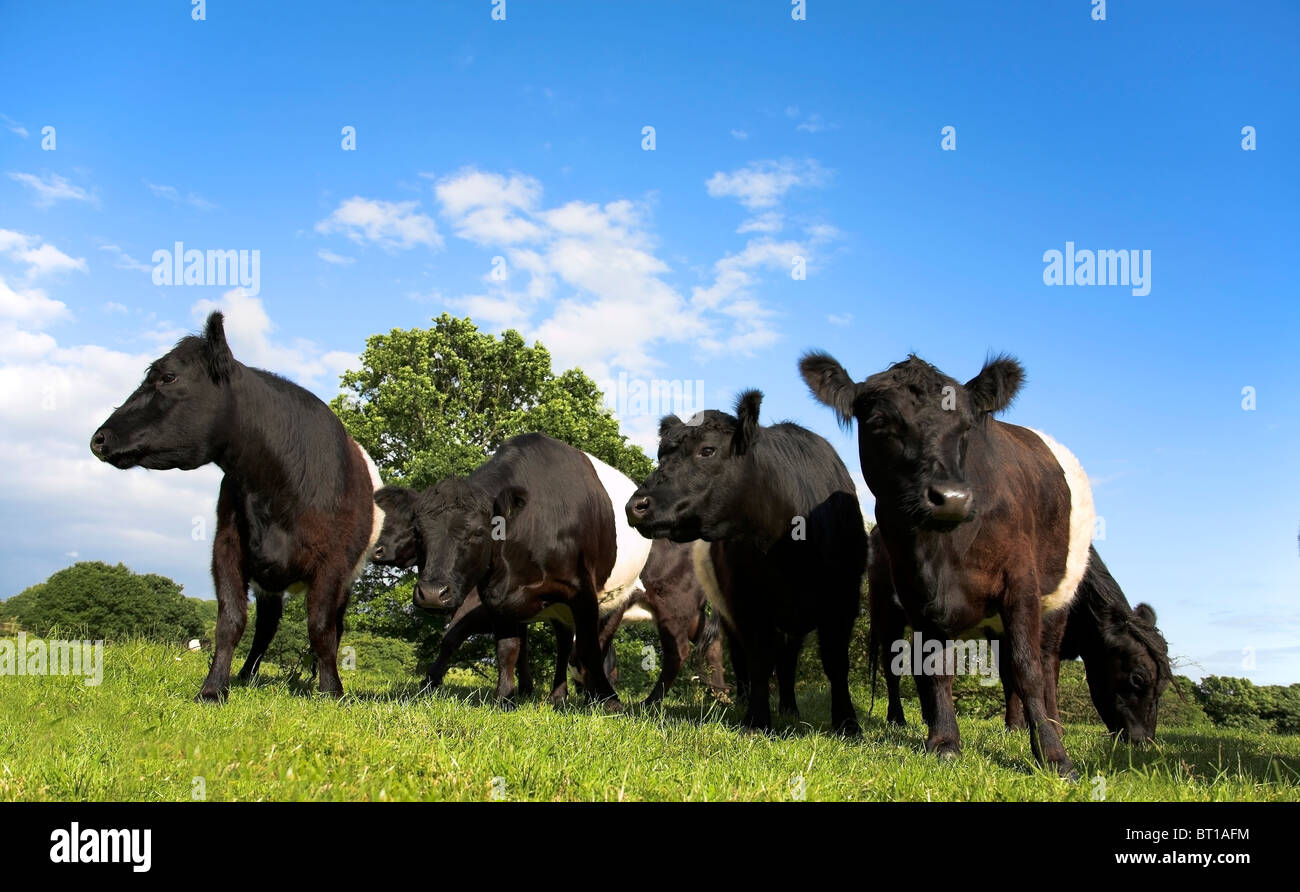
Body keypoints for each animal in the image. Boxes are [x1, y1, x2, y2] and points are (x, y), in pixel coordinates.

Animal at [91, 315, 379, 707]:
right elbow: (230, 621)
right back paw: (247, 675)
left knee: (333, 623)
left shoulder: (332, 562)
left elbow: (321, 626)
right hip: (269, 578)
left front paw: (331, 691)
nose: (99, 438)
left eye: (168, 377)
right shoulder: (226, 547)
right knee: (267, 625)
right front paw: (213, 689)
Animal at [410, 436, 650, 707]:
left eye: (478, 532)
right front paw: (504, 698)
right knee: (563, 643)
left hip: (619, 596)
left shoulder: (582, 593)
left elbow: (589, 648)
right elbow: (507, 649)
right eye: (417, 531)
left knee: (592, 643)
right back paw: (557, 695)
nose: (432, 593)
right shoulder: (497, 596)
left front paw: (609, 701)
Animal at [626, 390, 868, 733]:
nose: (636, 506)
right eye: (661, 454)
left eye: (708, 450)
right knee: (745, 658)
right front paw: (756, 718)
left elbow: (835, 662)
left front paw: (847, 723)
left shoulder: (843, 599)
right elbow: (759, 659)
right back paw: (744, 700)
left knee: (787, 660)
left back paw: (789, 707)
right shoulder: (746, 601)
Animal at [795, 353, 1092, 780]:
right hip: (887, 608)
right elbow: (933, 667)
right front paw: (945, 741)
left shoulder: (1020, 583)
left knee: (1047, 661)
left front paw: (1053, 755)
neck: (941, 551)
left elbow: (1028, 668)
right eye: (879, 423)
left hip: (1059, 596)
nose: (951, 498)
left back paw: (1051, 724)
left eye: (966, 428)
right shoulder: (915, 591)